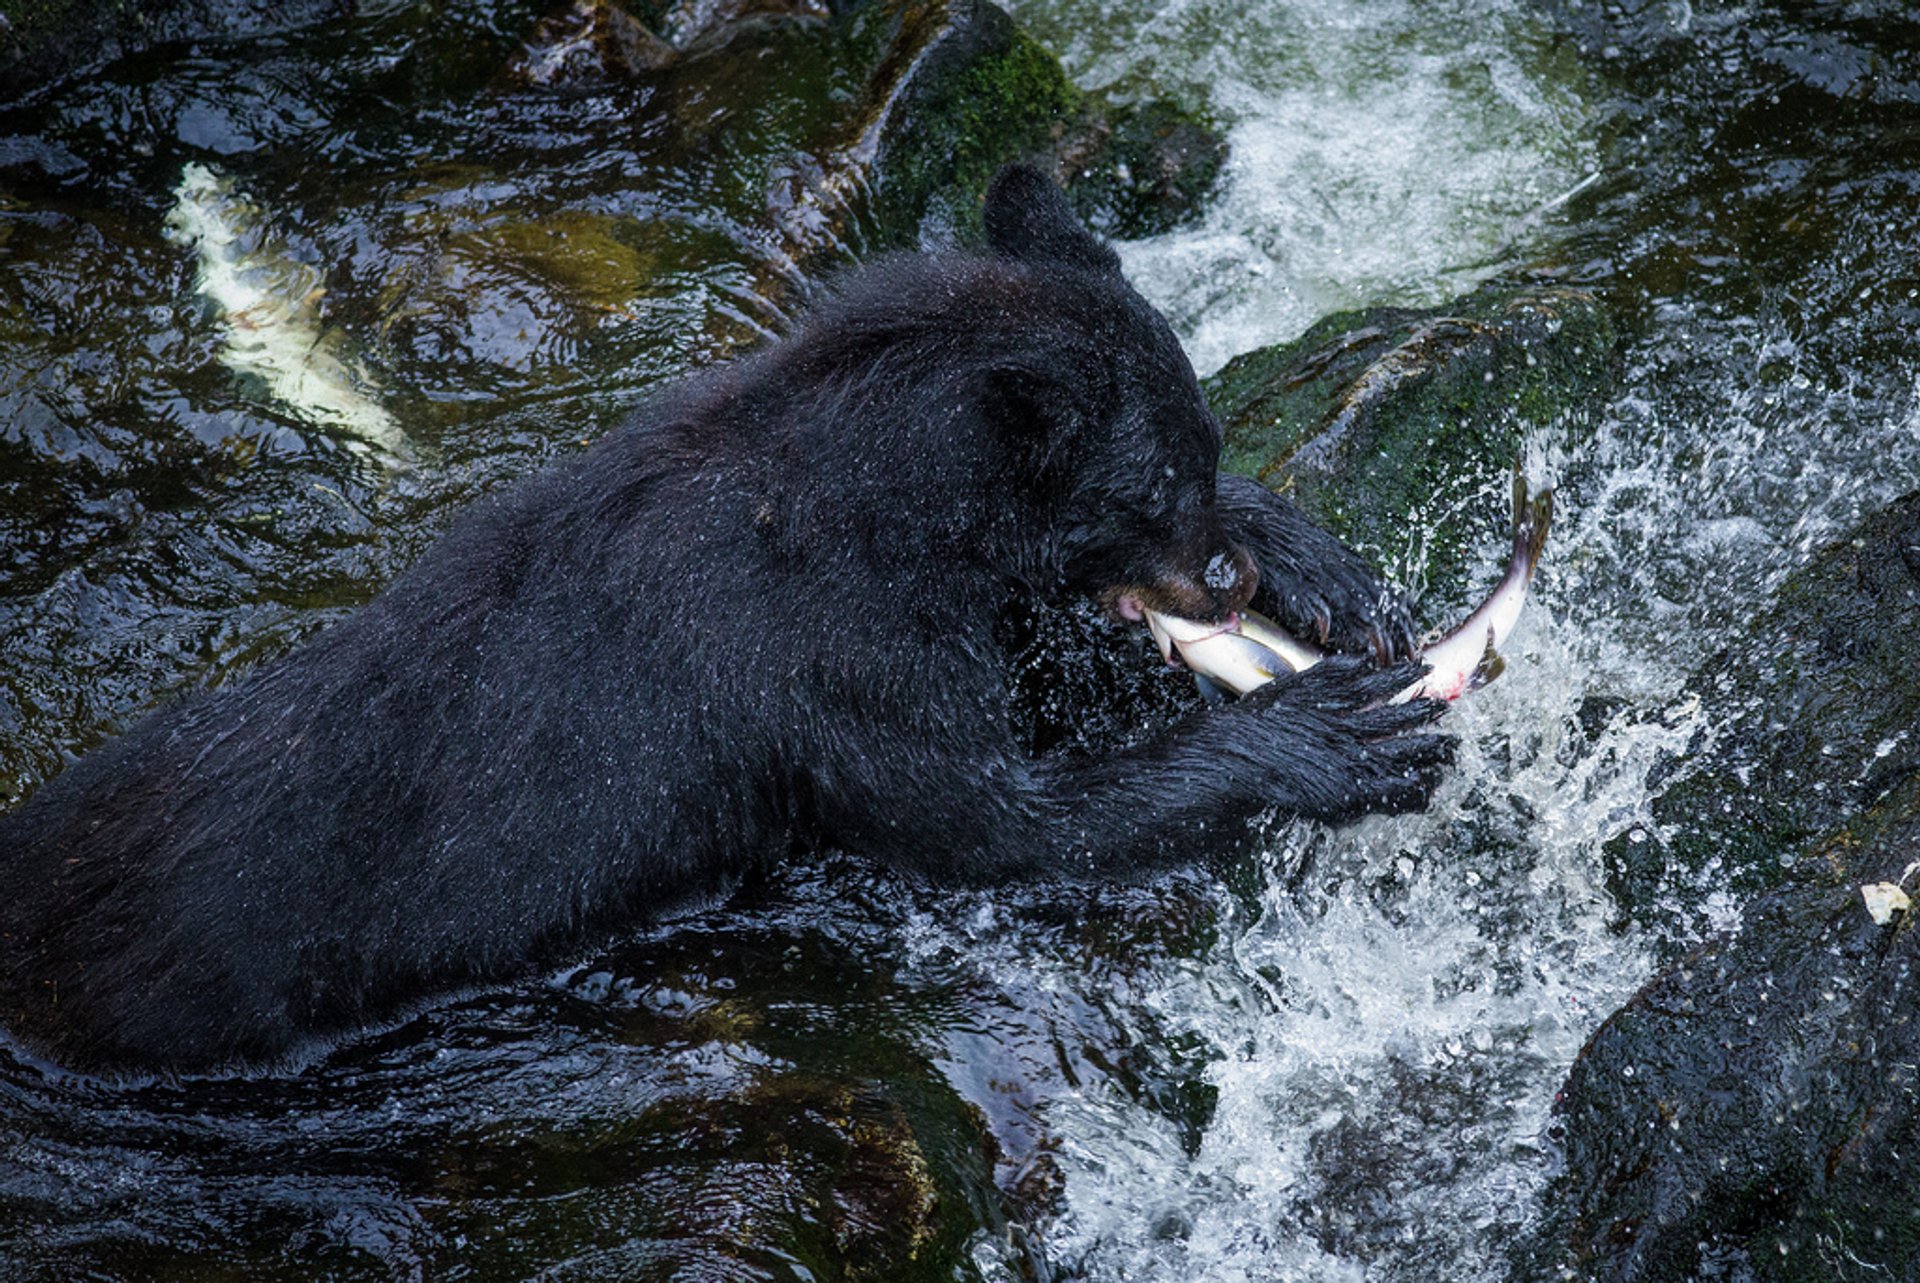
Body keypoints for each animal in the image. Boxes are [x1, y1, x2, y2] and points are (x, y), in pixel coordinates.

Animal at [0, 168, 1443, 1075]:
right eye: (1148, 486)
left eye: (1202, 443)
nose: (1224, 578)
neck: (856, 501)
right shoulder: (821, 660)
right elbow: (997, 819)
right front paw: (1332, 731)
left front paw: (1323, 568)